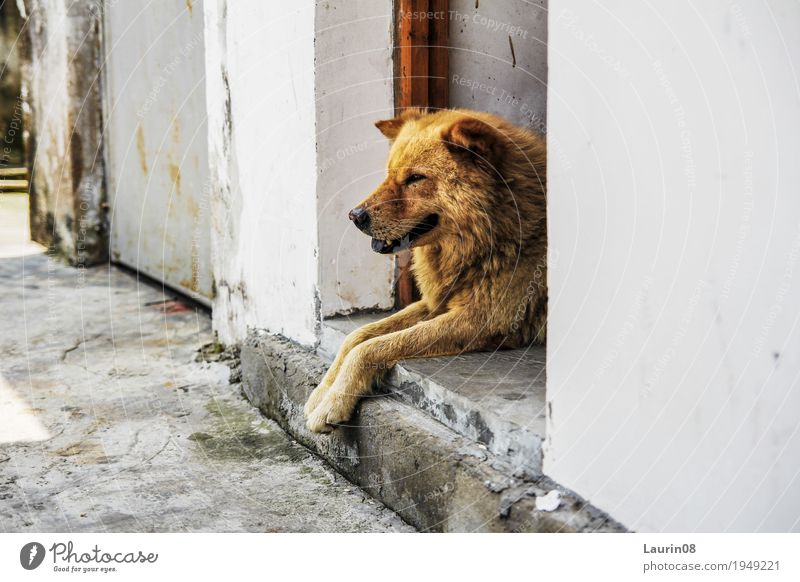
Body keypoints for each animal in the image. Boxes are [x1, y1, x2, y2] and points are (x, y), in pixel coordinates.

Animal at [304, 107, 548, 434]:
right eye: (389, 174)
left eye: (415, 178)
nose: (354, 216)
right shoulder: (436, 301)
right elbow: (357, 335)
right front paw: (322, 391)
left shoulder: (483, 319)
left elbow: (370, 347)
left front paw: (334, 401)